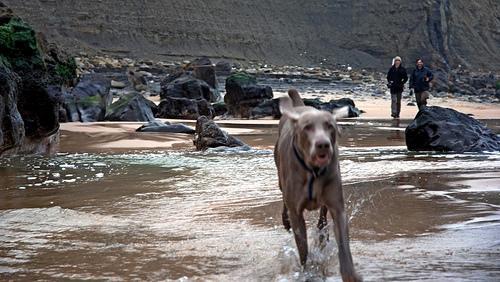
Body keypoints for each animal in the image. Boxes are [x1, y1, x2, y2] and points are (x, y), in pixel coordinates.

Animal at [276, 89, 362, 280]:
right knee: (284, 199)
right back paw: (285, 220)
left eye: (330, 126)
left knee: (322, 216)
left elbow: (343, 245)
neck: (313, 171)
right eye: (307, 127)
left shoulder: (338, 206)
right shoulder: (296, 213)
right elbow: (303, 249)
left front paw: (350, 275)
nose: (323, 144)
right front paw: (307, 271)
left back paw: (323, 235)